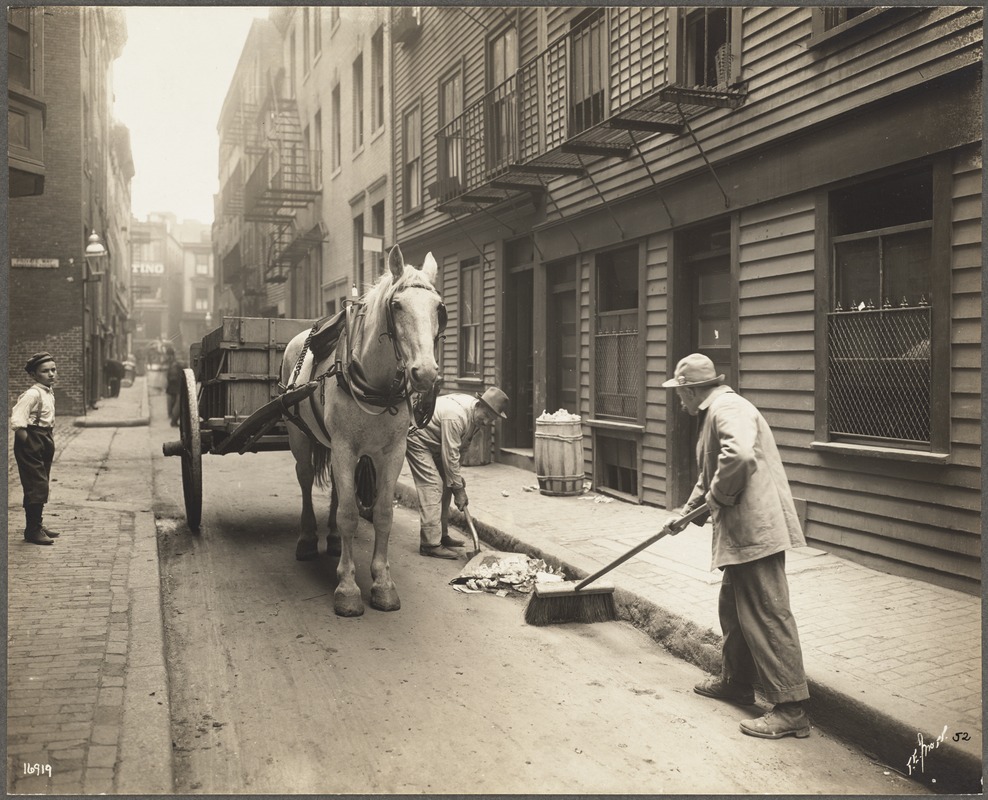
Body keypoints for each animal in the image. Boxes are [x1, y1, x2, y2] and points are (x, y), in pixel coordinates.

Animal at [280, 247, 446, 616]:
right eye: (397, 306)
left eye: (438, 307)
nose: (426, 373)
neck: (376, 383)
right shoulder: (344, 447)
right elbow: (348, 514)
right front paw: (347, 587)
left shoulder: (392, 452)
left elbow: (381, 513)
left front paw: (382, 583)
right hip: (301, 437)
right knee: (305, 479)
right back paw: (308, 539)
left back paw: (332, 540)